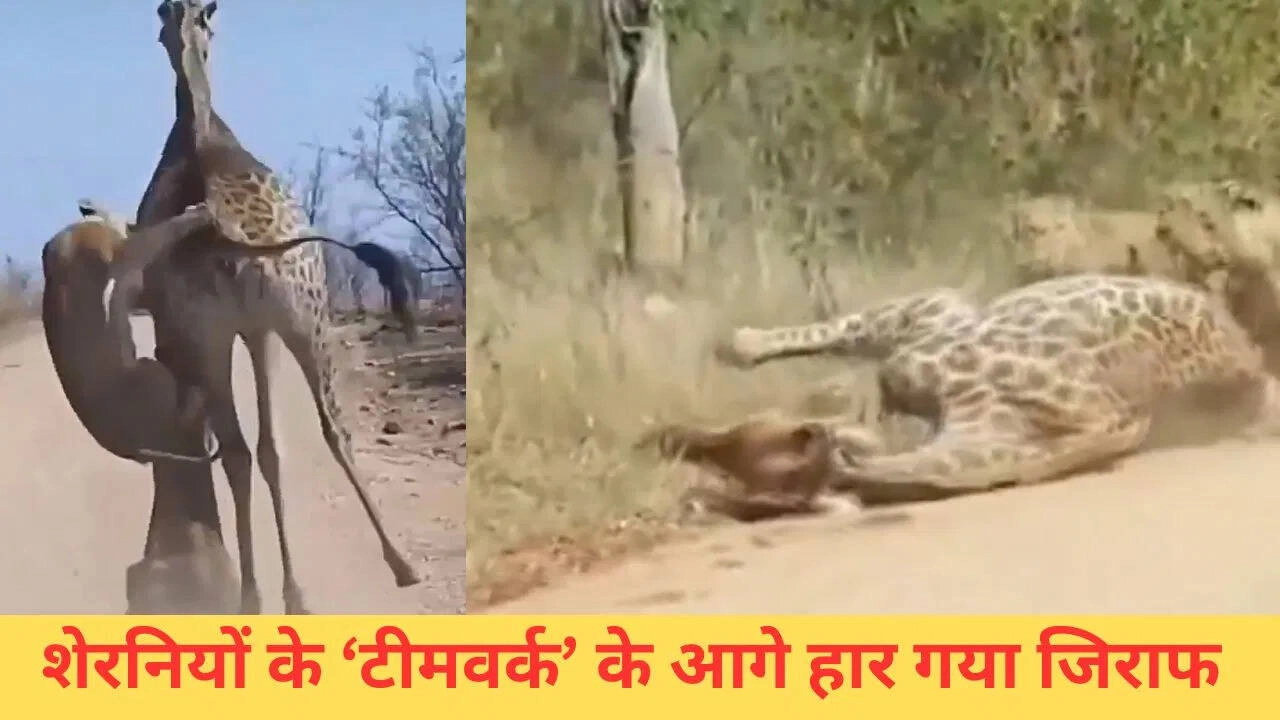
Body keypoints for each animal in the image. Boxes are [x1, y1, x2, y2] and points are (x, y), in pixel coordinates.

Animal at [124, 0, 421, 614]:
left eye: (203, 21)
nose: (181, 32)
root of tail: (229, 231)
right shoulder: (253, 329)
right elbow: (270, 449)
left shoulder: (224, 330)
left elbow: (259, 449)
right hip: (300, 318)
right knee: (324, 429)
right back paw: (389, 568)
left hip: (236, 329)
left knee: (255, 447)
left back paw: (260, 595)